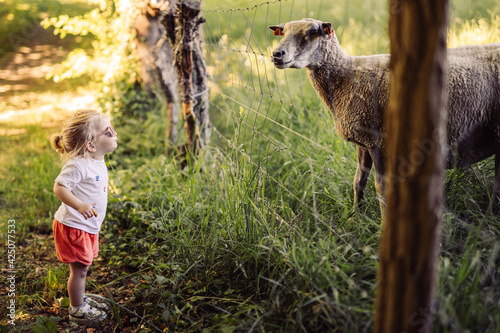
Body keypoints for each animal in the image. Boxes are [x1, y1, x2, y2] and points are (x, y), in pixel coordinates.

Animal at [270, 18, 500, 211]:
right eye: (284, 32)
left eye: (311, 32)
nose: (277, 55)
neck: (346, 77)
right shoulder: (363, 142)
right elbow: (358, 182)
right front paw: (354, 216)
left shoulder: (378, 141)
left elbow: (381, 188)